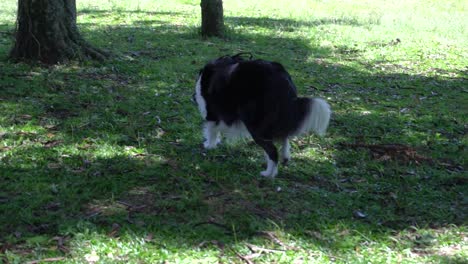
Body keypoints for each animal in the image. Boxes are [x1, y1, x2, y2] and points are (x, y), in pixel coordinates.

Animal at [194, 53, 332, 177]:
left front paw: (209, 145)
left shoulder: (211, 114)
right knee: (284, 136)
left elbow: (211, 130)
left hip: (256, 125)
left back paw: (269, 174)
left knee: (272, 150)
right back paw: (285, 156)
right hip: (277, 118)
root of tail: (282, 79)